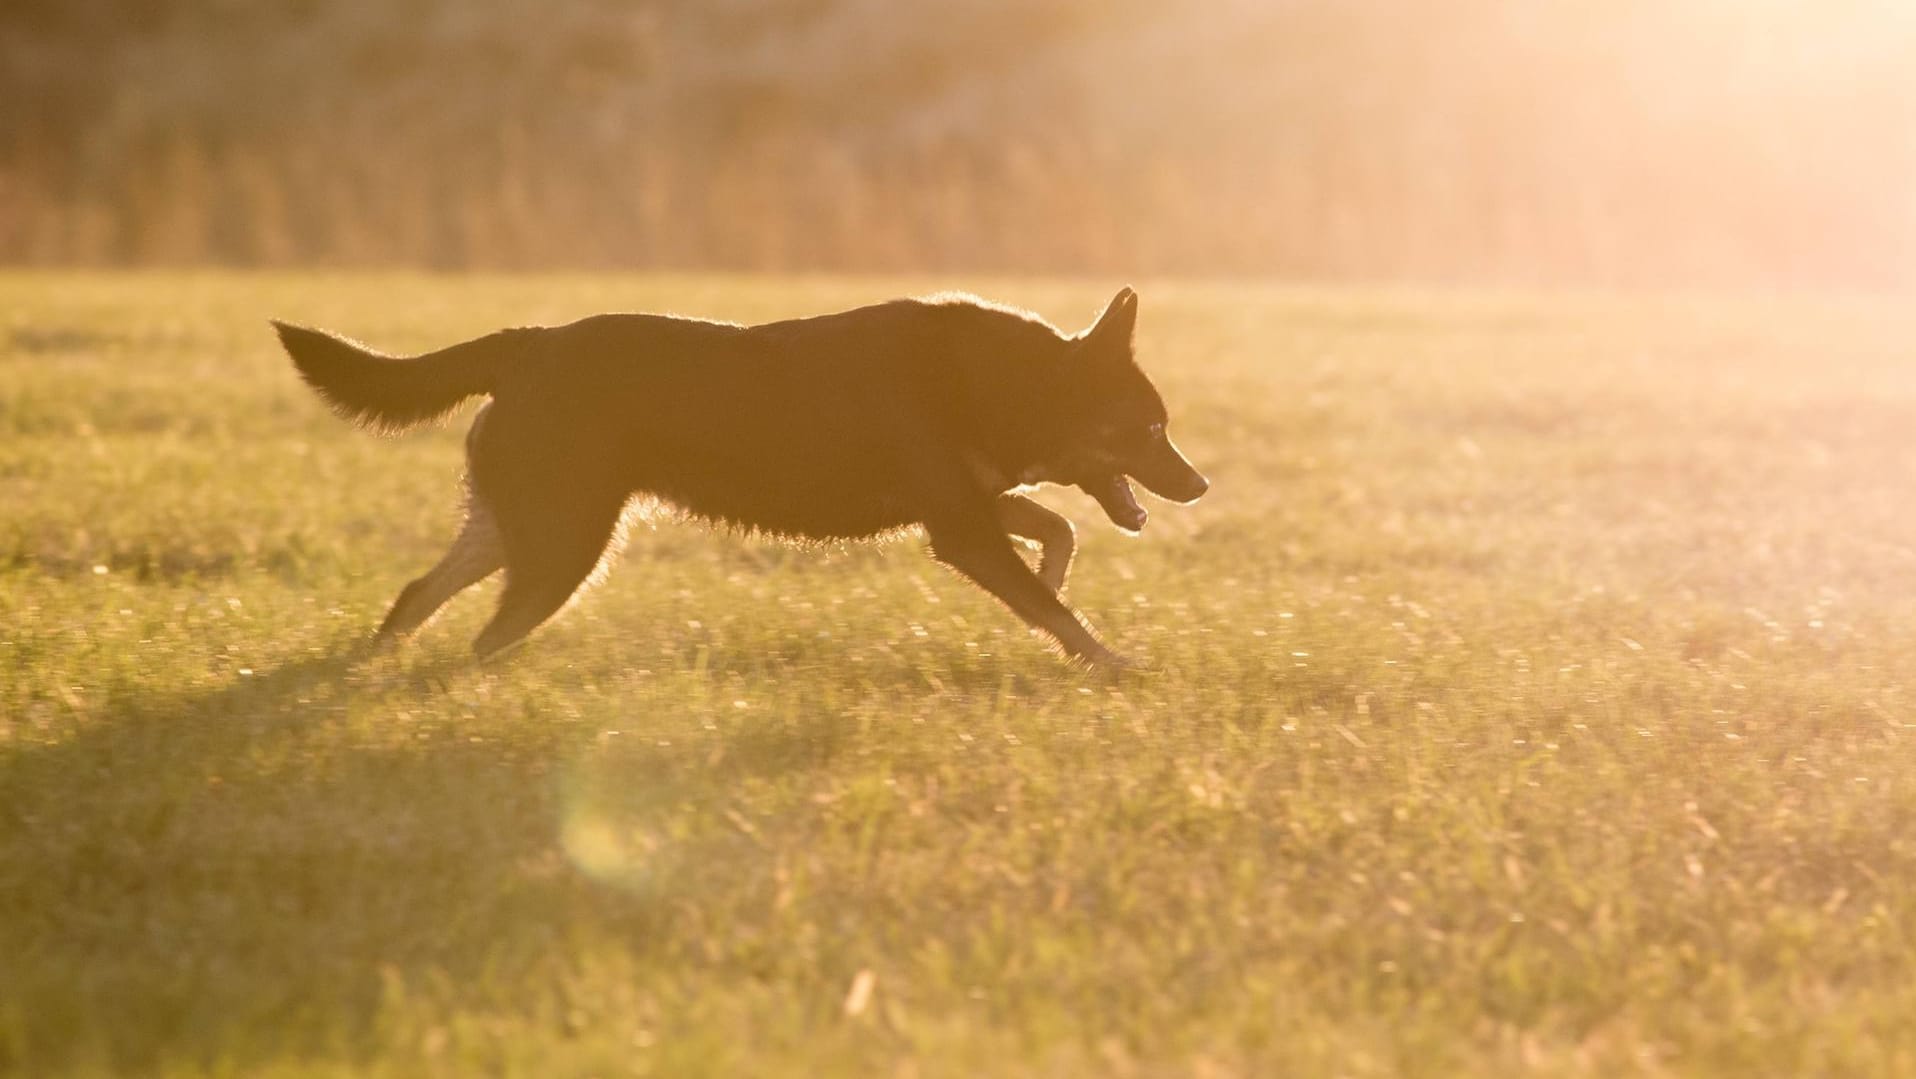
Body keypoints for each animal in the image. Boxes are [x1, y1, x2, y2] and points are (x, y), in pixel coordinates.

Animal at [273, 291, 1195, 670]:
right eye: (1152, 429)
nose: (1202, 485)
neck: (1007, 383)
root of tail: (528, 345)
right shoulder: (960, 527)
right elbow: (1054, 608)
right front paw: (1111, 663)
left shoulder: (963, 506)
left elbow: (1057, 532)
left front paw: (1061, 578)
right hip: (565, 544)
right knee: (482, 635)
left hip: (519, 524)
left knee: (414, 595)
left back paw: (371, 668)